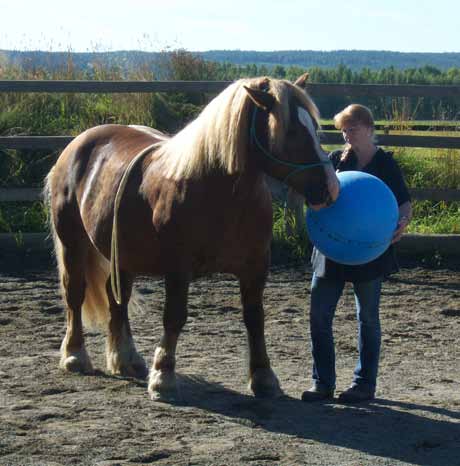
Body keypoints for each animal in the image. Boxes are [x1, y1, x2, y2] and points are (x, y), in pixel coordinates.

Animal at [45, 74, 340, 398]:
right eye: (290, 130)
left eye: (313, 127)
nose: (331, 187)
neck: (218, 191)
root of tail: (80, 142)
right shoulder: (178, 268)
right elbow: (174, 316)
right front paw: (163, 375)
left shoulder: (255, 268)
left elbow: (255, 318)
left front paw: (263, 377)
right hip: (73, 243)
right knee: (75, 293)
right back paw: (75, 355)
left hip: (122, 253)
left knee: (116, 297)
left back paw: (126, 359)